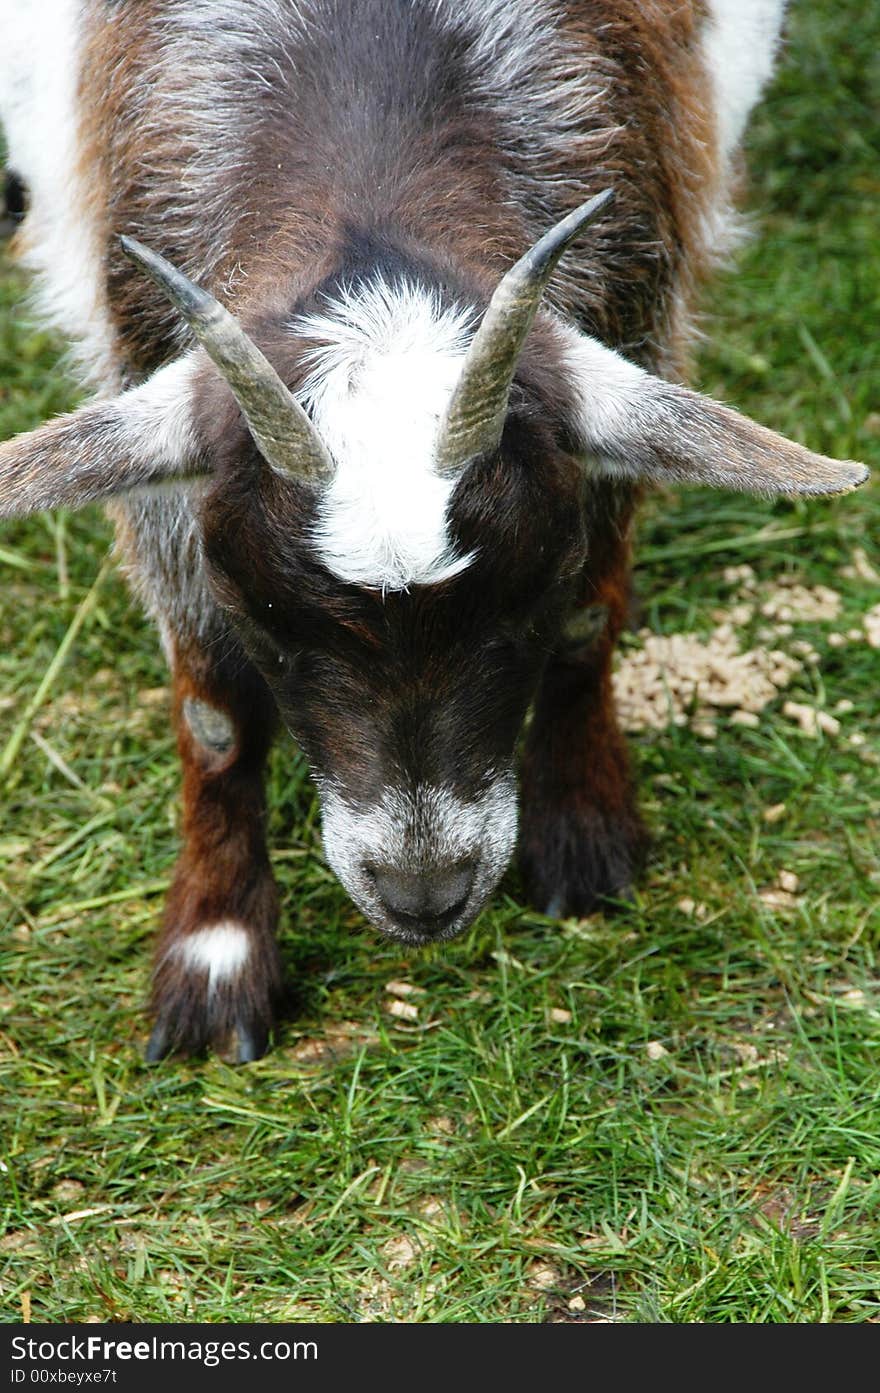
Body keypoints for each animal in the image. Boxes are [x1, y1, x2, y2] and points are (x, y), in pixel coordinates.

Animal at [0, 0, 868, 1058]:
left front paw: (582, 830)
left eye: (531, 601)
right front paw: (216, 954)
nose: (425, 895)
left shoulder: (643, 304)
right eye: (263, 624)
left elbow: (593, 621)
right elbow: (214, 715)